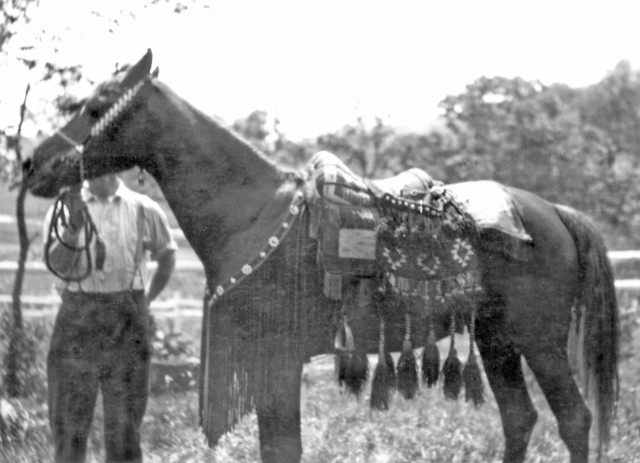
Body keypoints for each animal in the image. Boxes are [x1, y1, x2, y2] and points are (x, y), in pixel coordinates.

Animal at [22, 49, 616, 462]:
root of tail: (554, 212)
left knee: (574, 419)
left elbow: (283, 447)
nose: (32, 164)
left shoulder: (277, 357)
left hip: (538, 341)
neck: (251, 210)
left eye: (96, 108)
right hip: (498, 341)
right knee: (520, 419)